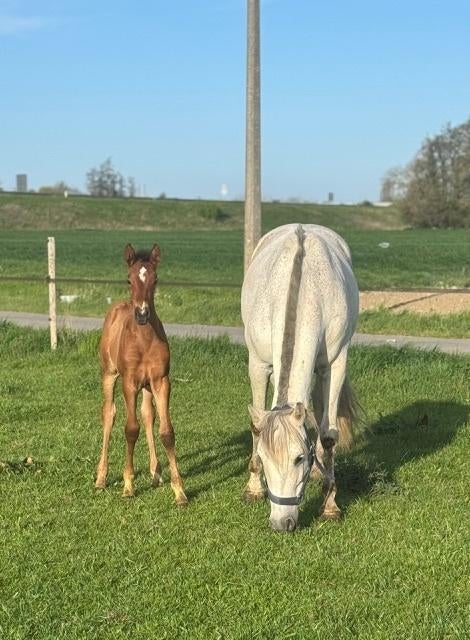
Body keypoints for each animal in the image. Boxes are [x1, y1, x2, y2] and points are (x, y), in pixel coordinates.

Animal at [95, 243, 187, 505]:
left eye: (155, 279)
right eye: (129, 279)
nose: (143, 314)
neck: (144, 341)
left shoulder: (161, 381)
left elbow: (166, 432)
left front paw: (179, 491)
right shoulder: (129, 383)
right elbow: (130, 429)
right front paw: (128, 485)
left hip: (148, 386)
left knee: (148, 415)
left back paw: (156, 473)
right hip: (109, 374)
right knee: (109, 414)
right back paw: (101, 478)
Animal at [241, 224, 359, 532]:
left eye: (299, 458)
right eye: (265, 459)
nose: (282, 523)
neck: (305, 293)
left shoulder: (335, 365)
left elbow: (328, 434)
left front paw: (330, 505)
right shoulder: (257, 364)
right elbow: (256, 427)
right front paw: (253, 488)